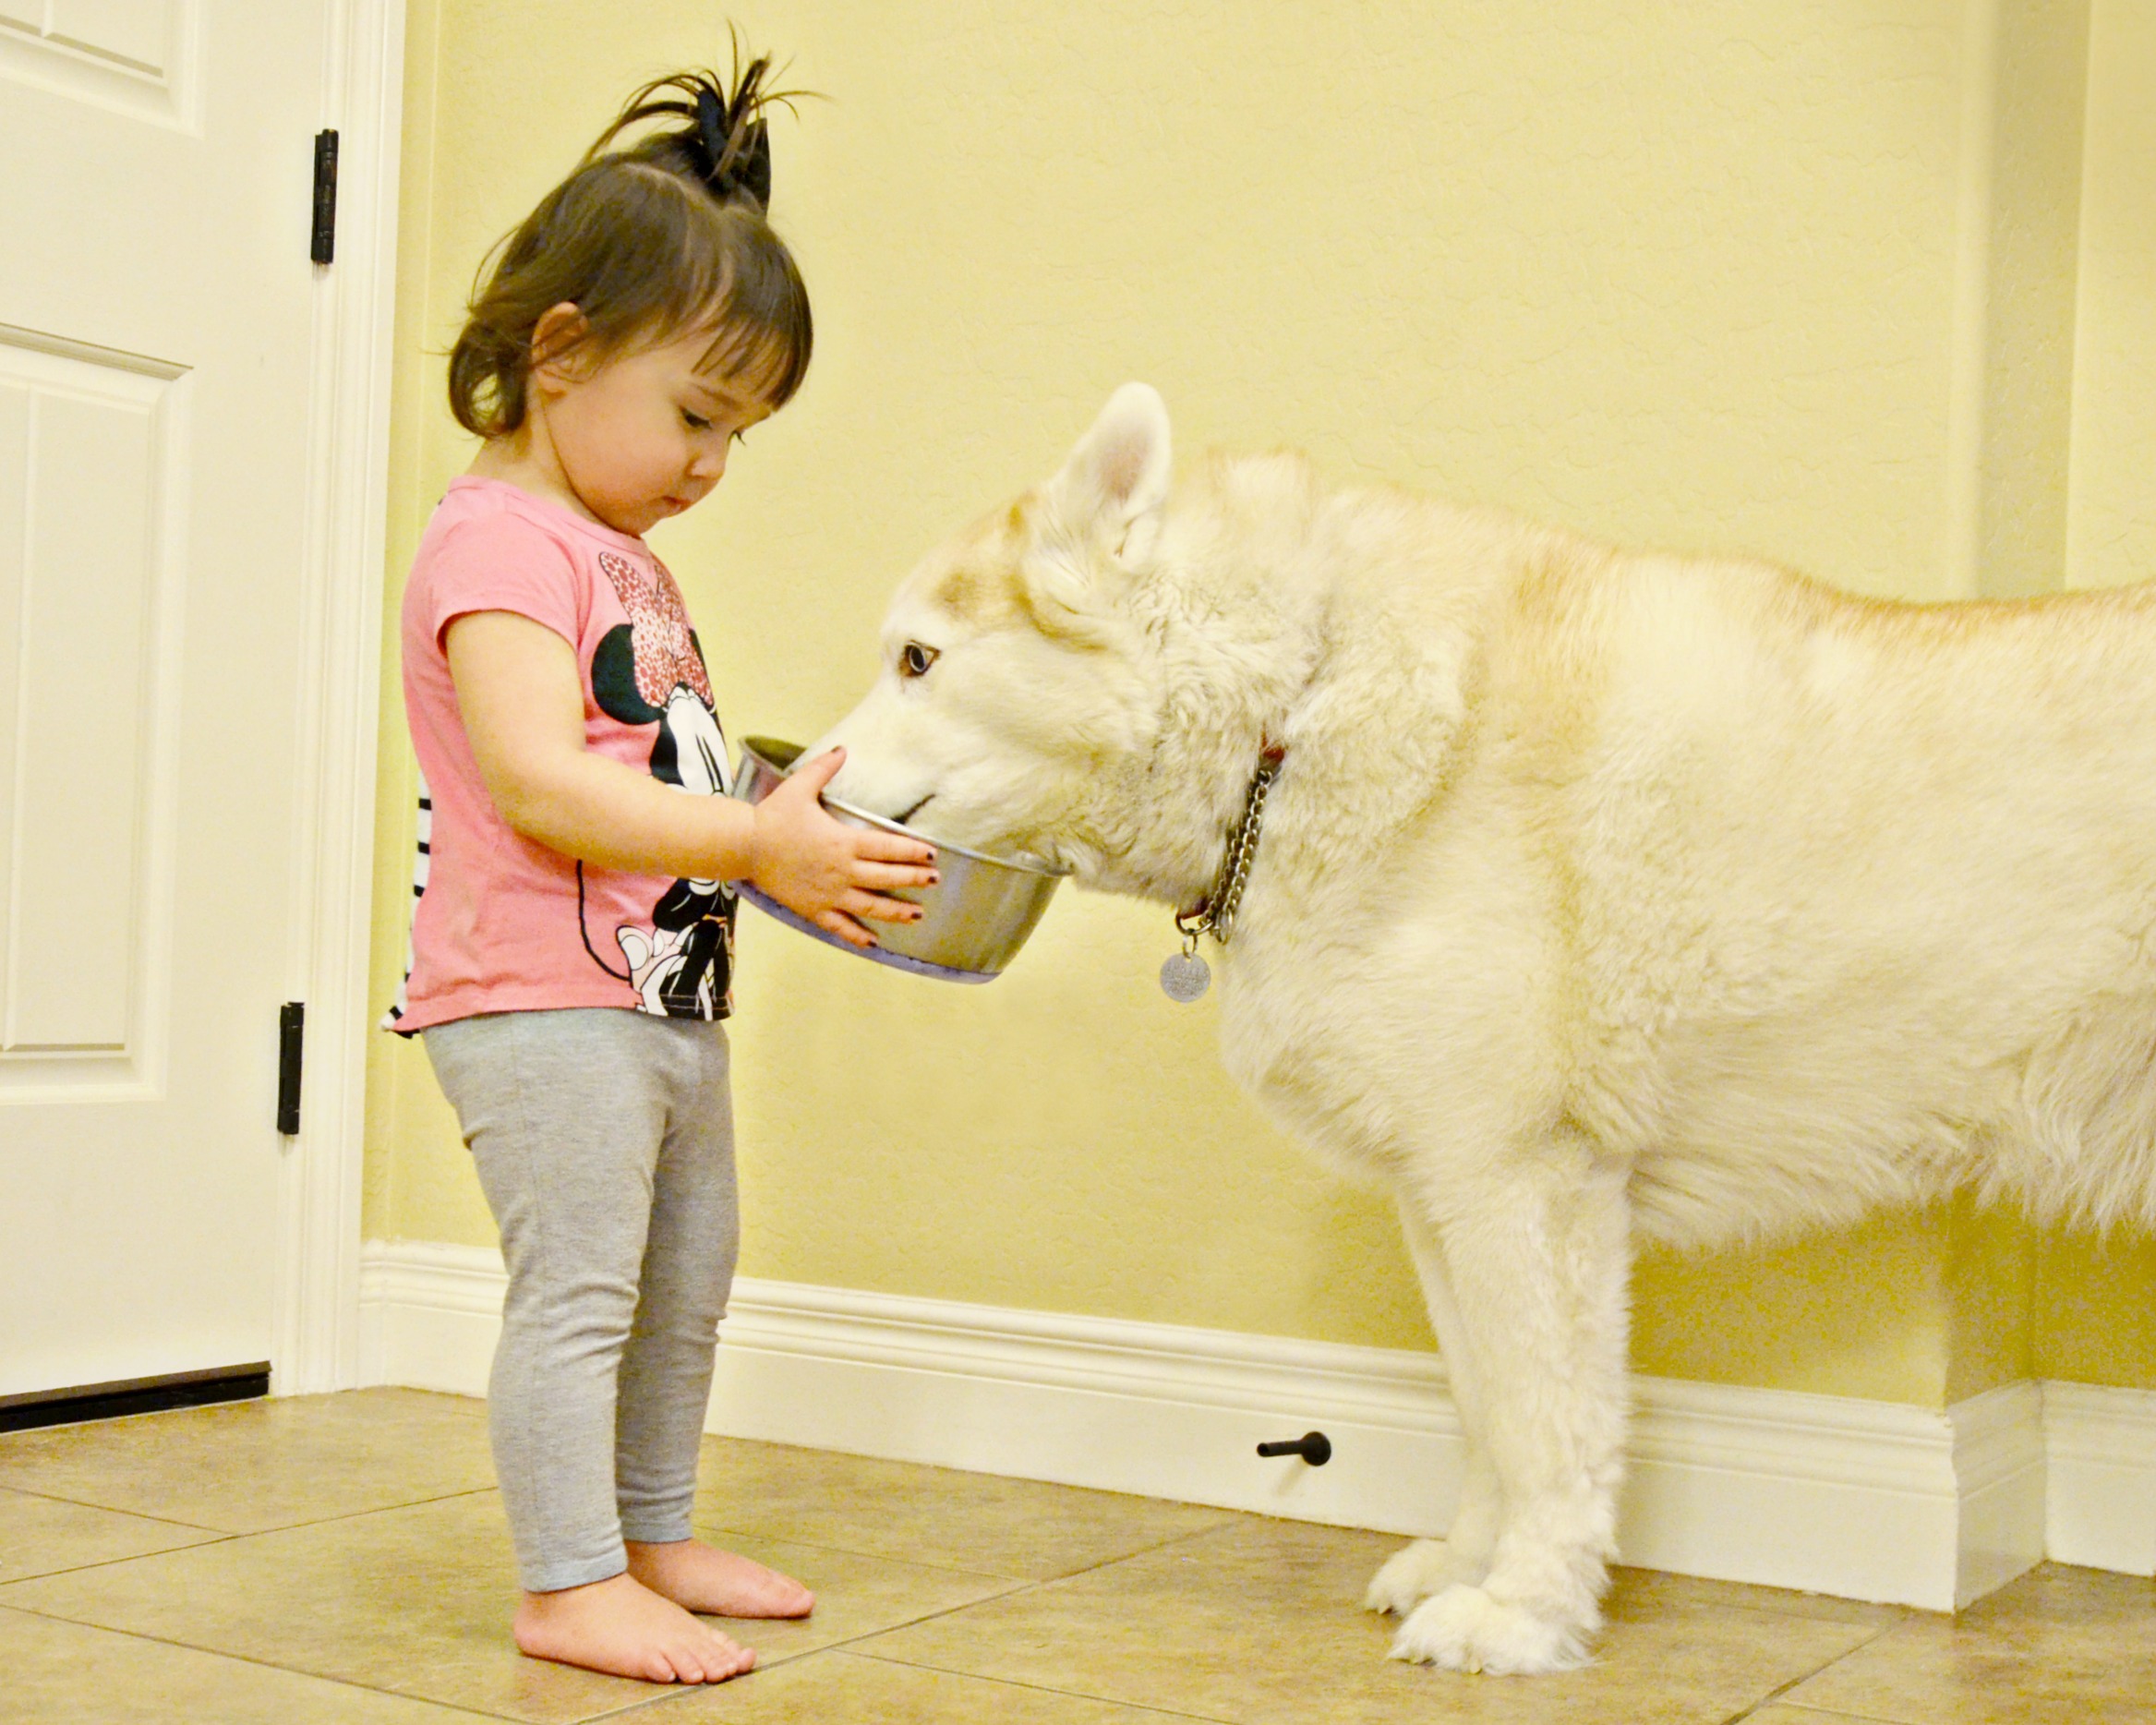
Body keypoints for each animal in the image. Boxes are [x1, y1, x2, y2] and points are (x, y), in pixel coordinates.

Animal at [813, 382, 2156, 1674]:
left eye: (918, 658)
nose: (807, 785)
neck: (1293, 712)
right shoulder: (1443, 1191)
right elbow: (1482, 1413)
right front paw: (1471, 1564)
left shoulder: (1521, 1183)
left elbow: (1542, 1421)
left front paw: (1523, 1611)